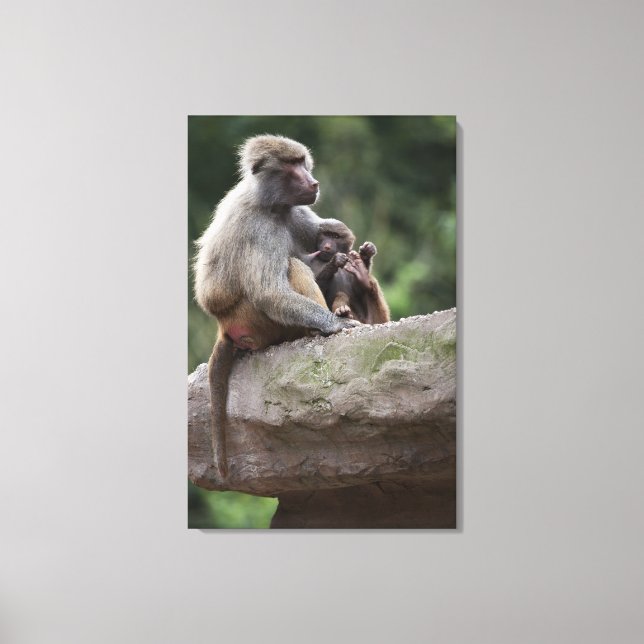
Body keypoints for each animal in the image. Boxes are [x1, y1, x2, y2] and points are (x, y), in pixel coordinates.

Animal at [193, 134, 359, 479]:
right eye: (293, 166)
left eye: (302, 162)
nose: (314, 182)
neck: (272, 205)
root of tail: (223, 327)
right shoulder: (259, 229)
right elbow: (269, 292)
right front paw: (334, 324)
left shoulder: (297, 213)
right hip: (254, 321)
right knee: (292, 268)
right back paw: (315, 331)